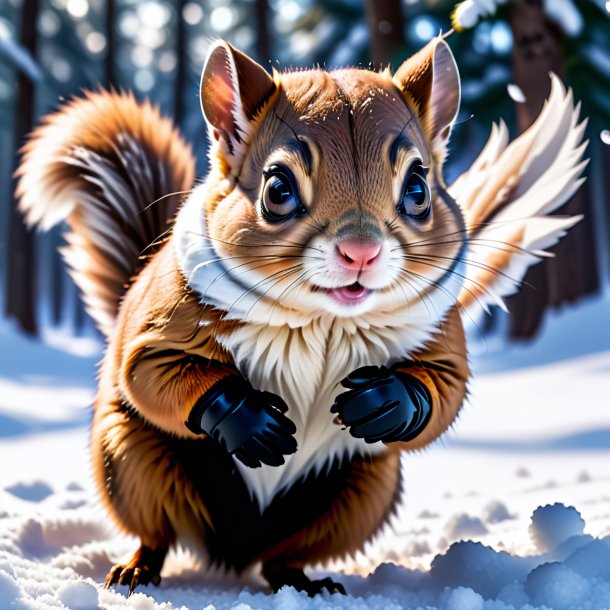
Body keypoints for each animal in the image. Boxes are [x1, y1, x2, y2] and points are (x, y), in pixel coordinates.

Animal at [16, 36, 584, 592]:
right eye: (277, 189)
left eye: (419, 188)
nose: (360, 252)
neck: (324, 320)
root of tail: (234, 553)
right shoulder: (163, 319)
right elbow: (149, 370)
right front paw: (248, 419)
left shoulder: (441, 333)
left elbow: (446, 388)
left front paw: (389, 401)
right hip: (129, 461)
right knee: (154, 529)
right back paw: (136, 571)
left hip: (360, 494)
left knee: (284, 558)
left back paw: (305, 582)